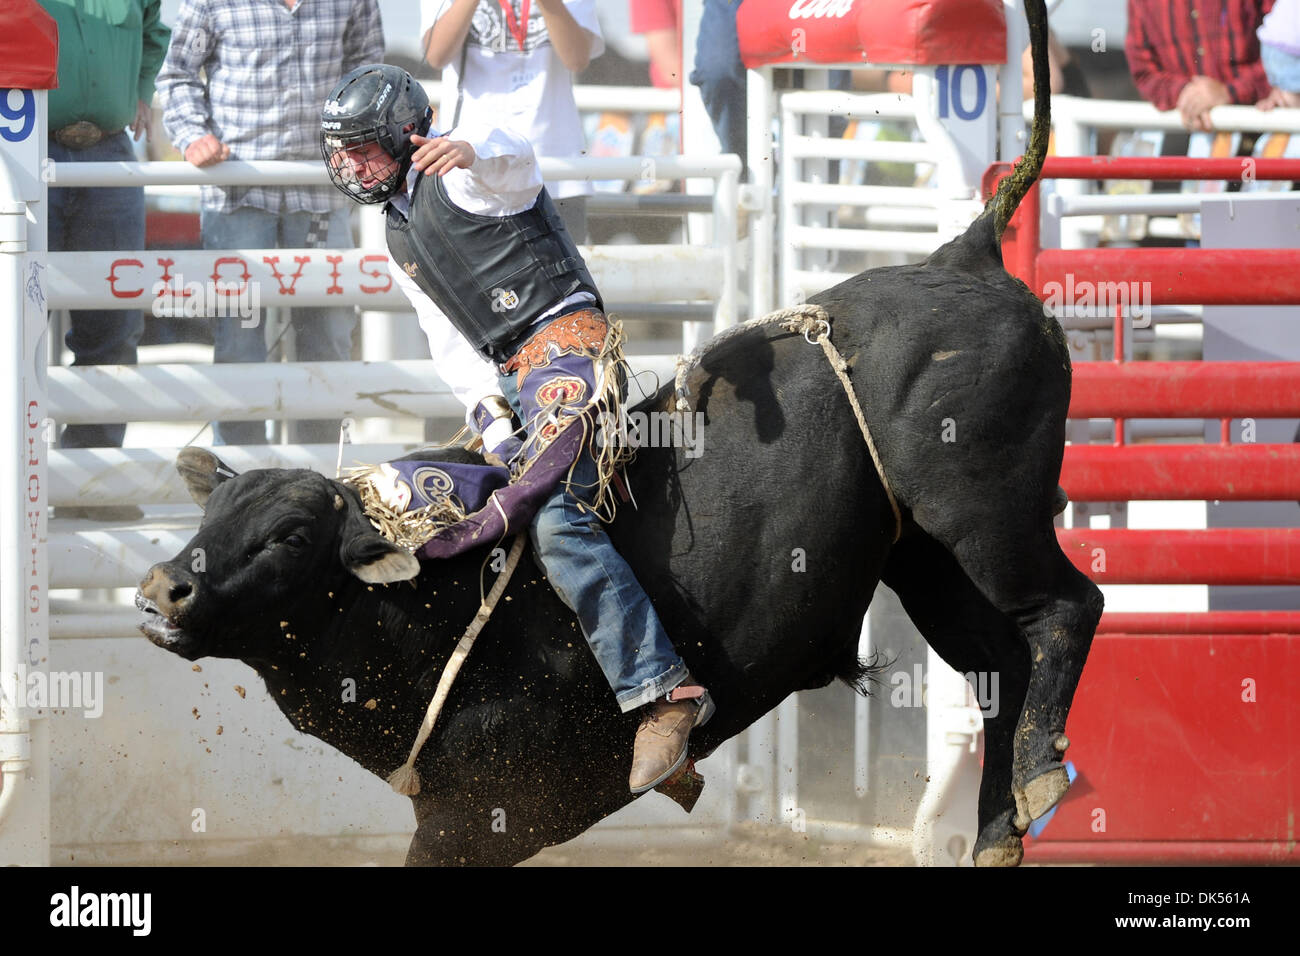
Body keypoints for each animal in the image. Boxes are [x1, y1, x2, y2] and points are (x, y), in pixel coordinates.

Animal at [139, 210, 1097, 868]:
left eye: (288, 536)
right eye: (211, 519)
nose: (160, 589)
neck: (438, 612)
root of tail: (961, 256)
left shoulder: (473, 821)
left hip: (983, 524)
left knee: (1067, 610)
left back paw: (1039, 776)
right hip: (928, 563)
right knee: (1000, 668)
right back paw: (1000, 826)